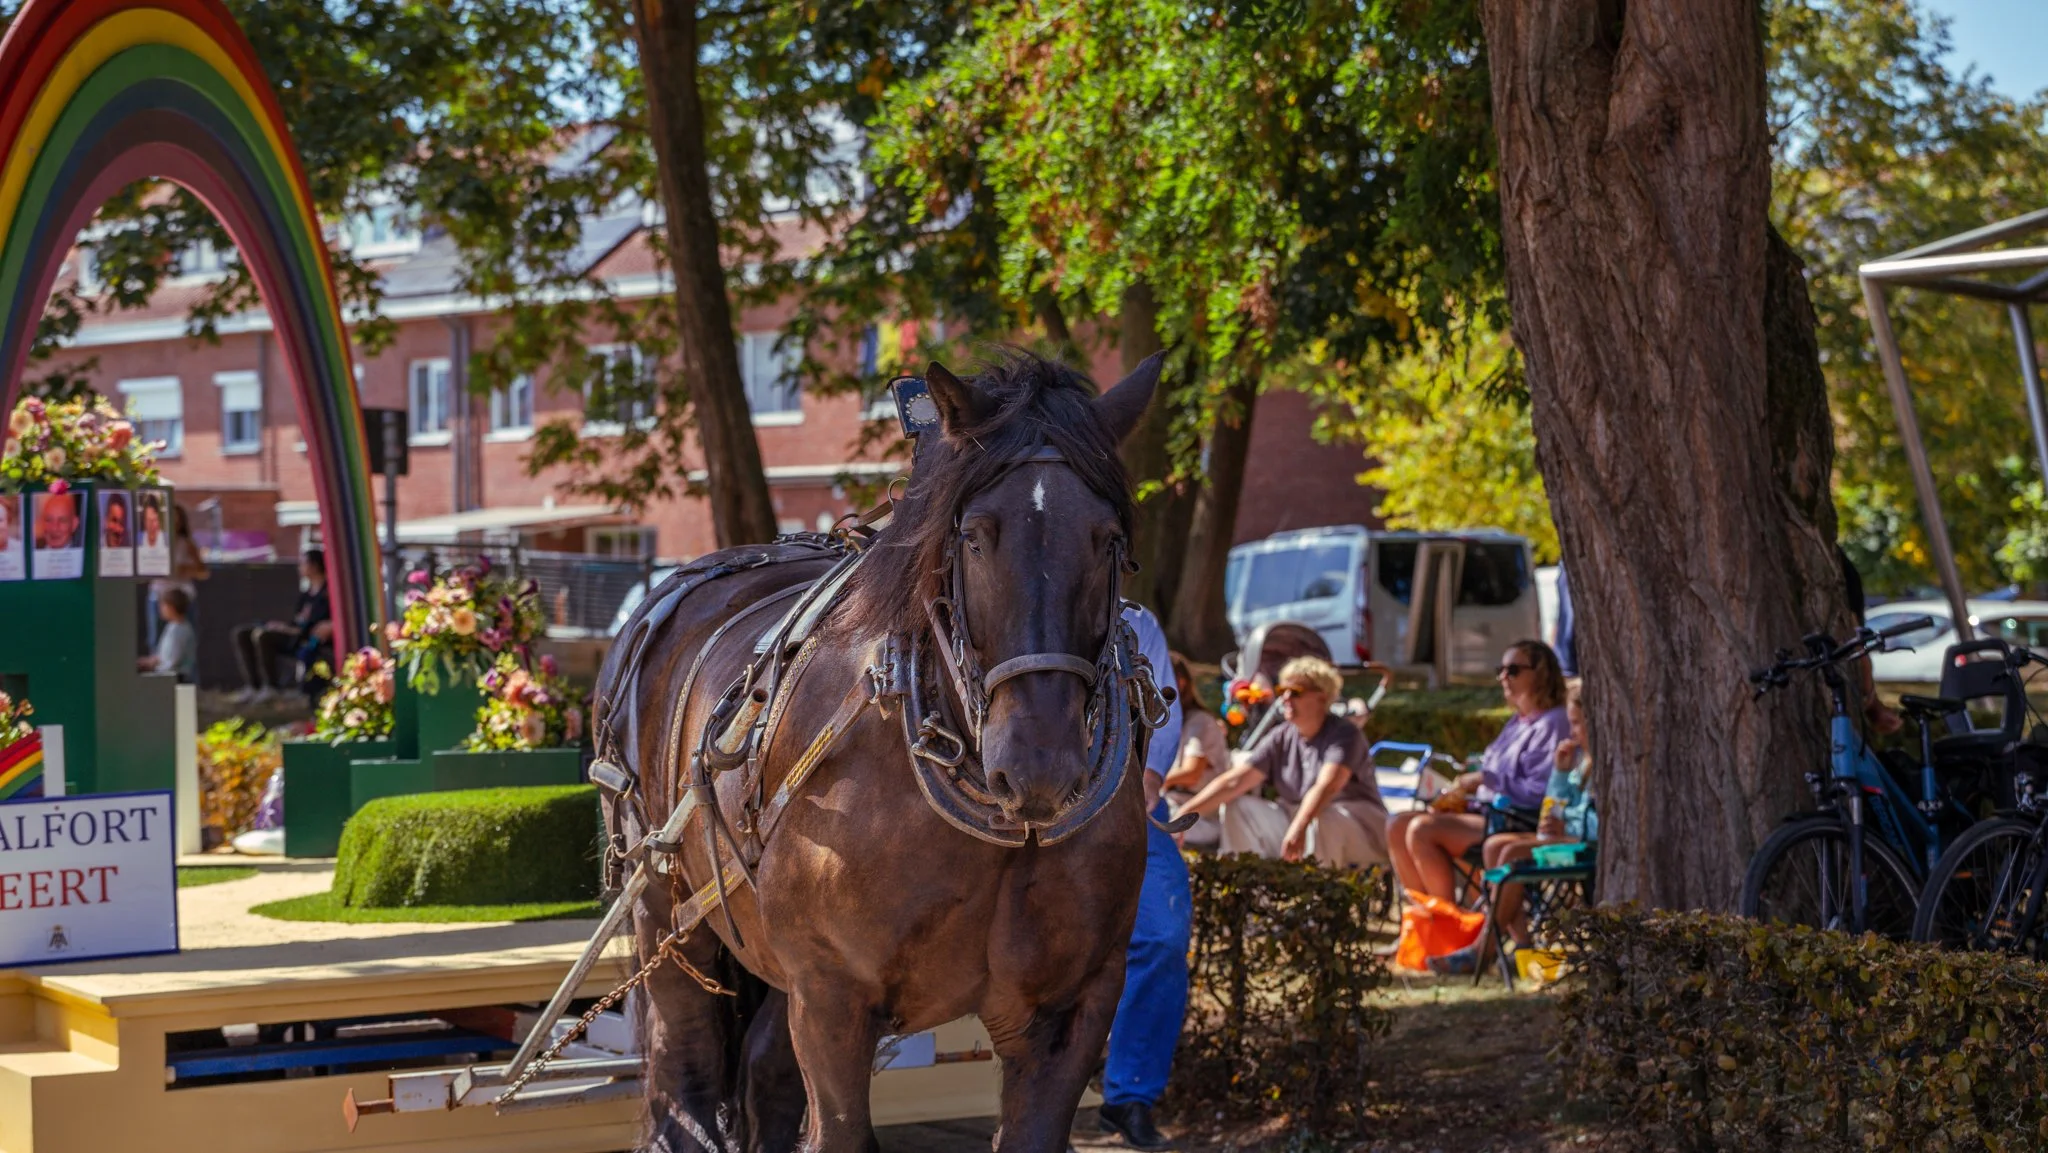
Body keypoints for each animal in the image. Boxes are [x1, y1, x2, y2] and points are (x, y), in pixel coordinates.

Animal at [593, 350, 1165, 1152]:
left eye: (1106, 537)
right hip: (665, 909)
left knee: (762, 1072)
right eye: (977, 536)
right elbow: (837, 1128)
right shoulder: (832, 995)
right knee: (685, 1071)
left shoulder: (1072, 1006)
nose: (1041, 765)